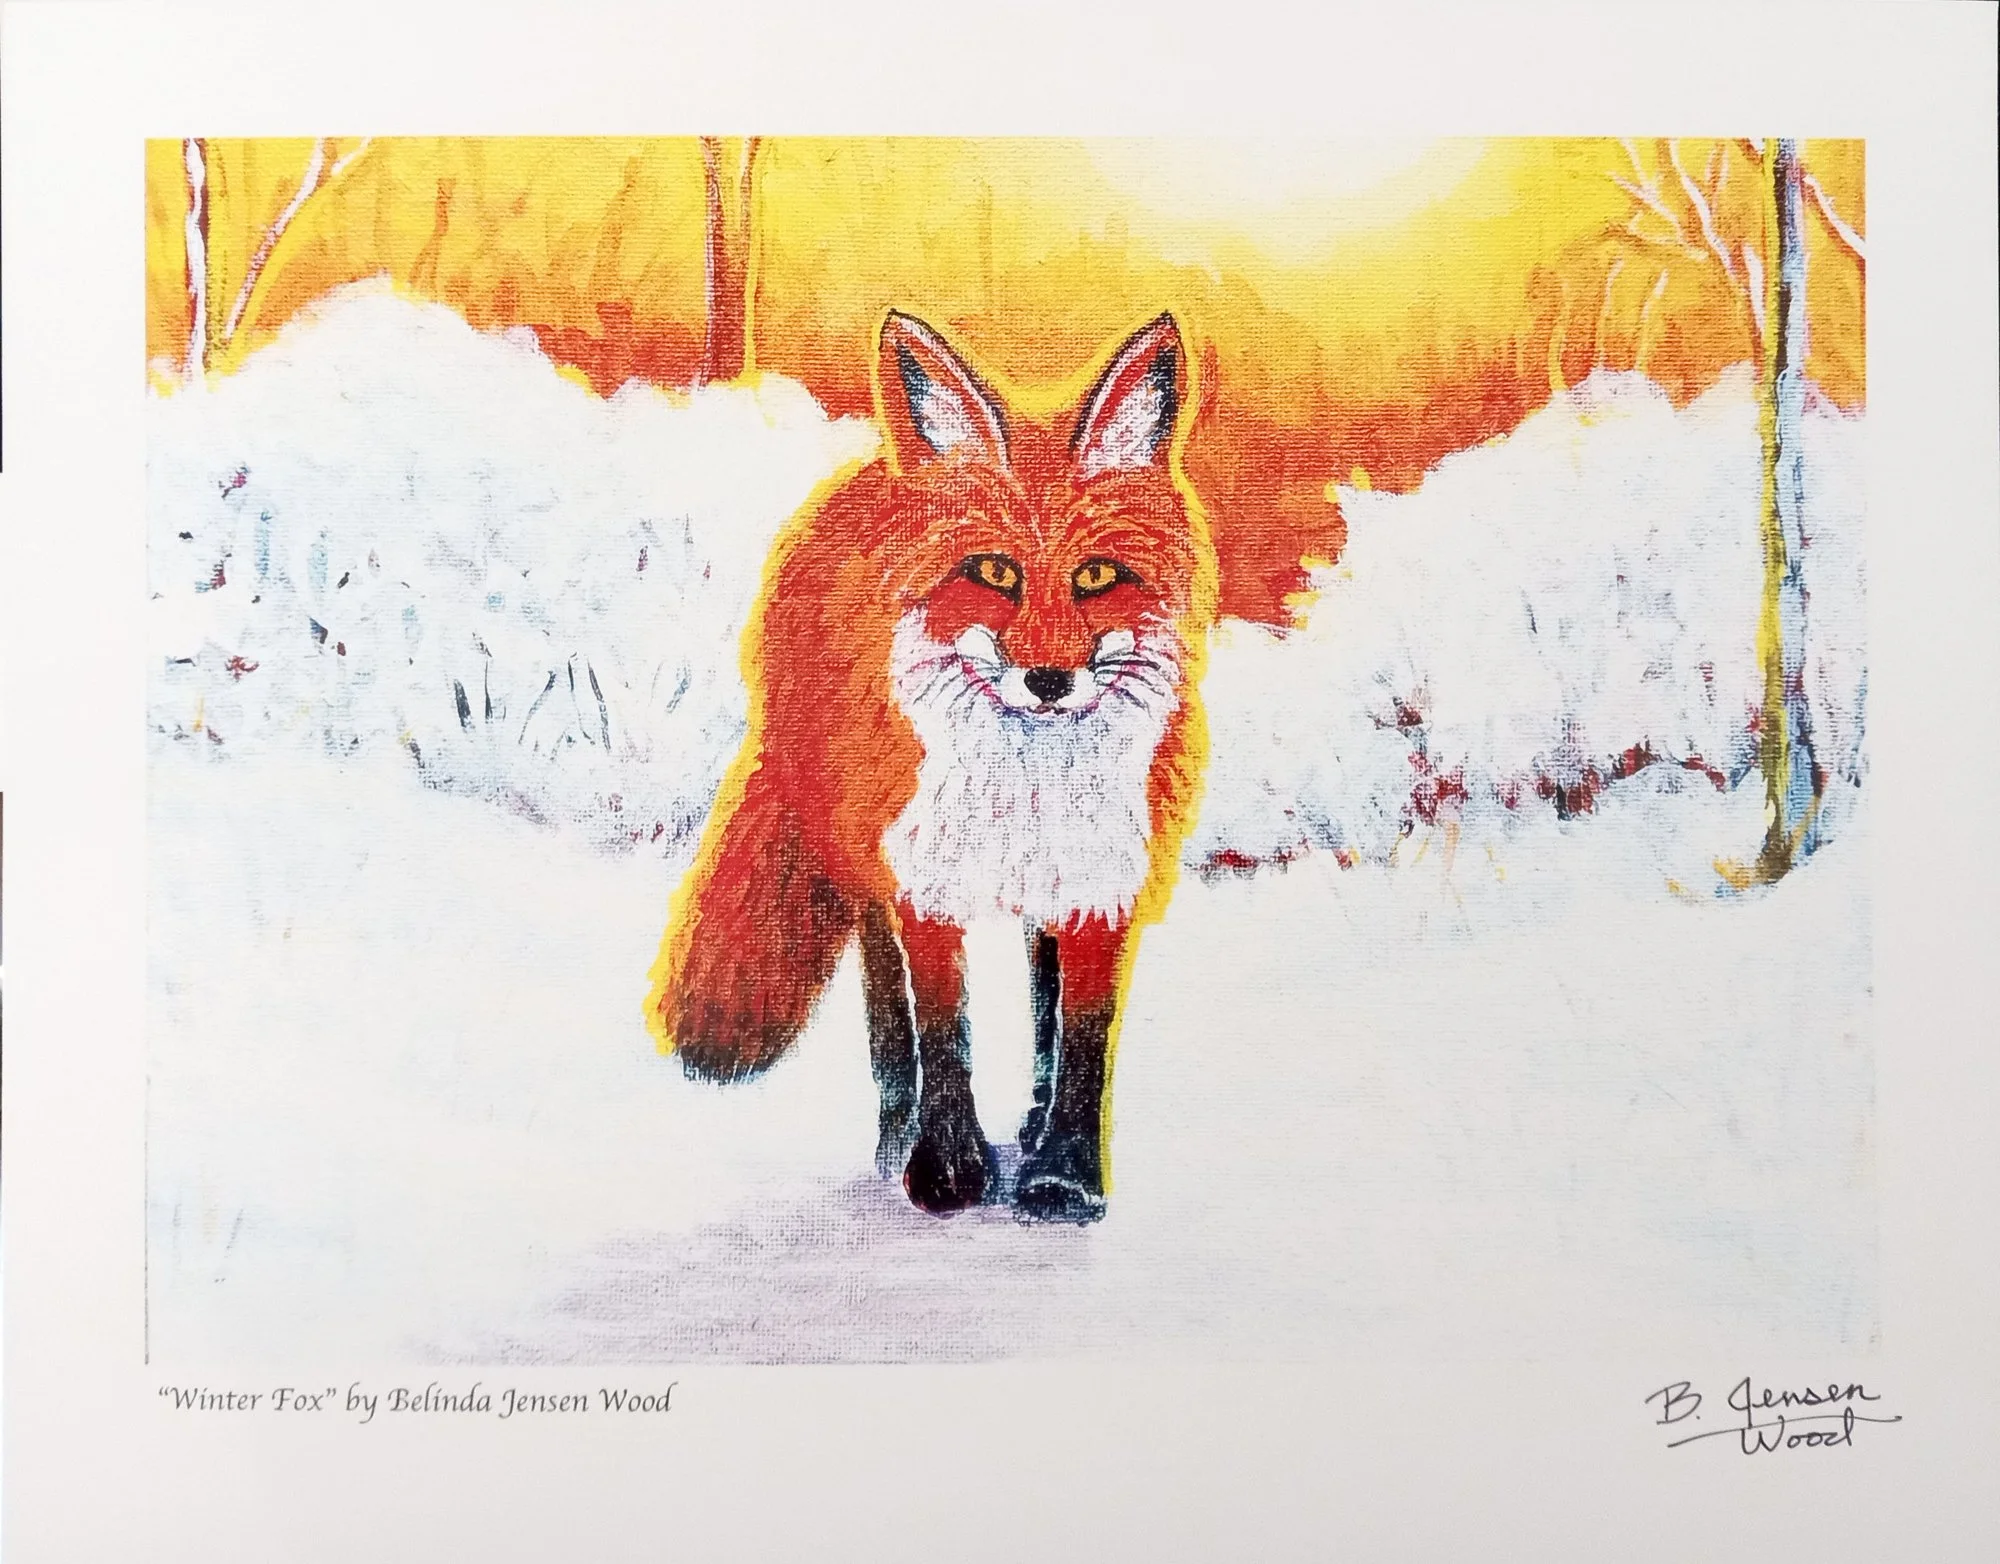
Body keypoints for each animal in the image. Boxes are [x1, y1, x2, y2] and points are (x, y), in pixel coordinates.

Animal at [646, 309, 1218, 1224]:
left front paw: (1063, 1177)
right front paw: (947, 1171)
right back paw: (894, 1137)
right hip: (861, 860)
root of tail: (870, 472)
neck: (1028, 787)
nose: (1049, 679)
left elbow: (1081, 1036)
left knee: (1040, 997)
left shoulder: (1101, 879)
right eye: (993, 572)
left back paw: (1023, 1126)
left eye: (1096, 575)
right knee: (887, 1005)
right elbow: (943, 1029)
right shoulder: (926, 876)